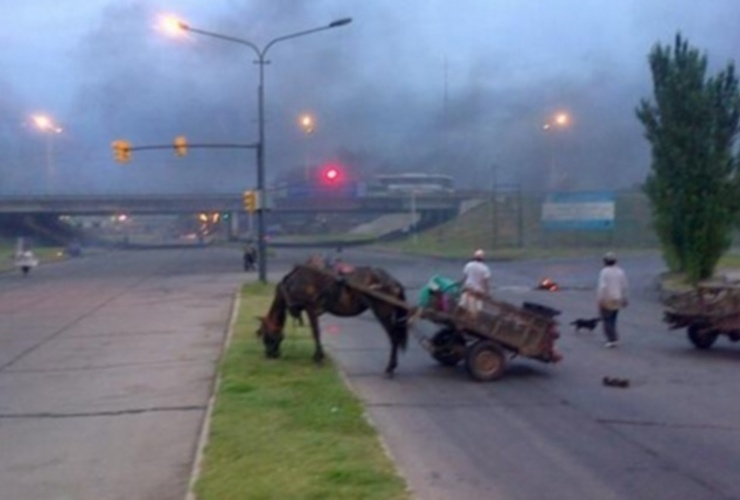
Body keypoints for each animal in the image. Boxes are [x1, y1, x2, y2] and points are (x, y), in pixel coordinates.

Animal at [258, 258, 410, 376]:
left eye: (265, 336)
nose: (269, 354)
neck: (294, 282)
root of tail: (392, 280)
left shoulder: (310, 308)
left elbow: (315, 332)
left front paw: (318, 357)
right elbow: (316, 332)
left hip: (383, 313)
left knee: (394, 338)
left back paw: (390, 367)